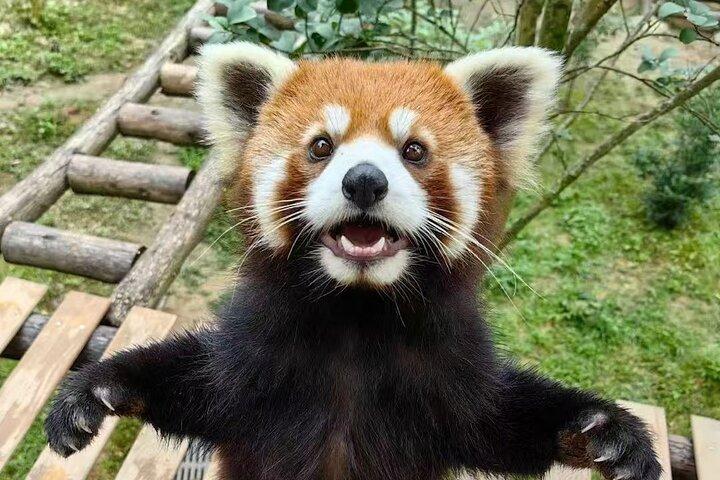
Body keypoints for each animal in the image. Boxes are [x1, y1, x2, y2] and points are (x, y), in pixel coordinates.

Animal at [45, 42, 661, 480]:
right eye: (322, 146)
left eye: (414, 150)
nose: (365, 180)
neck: (357, 315)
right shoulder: (255, 357)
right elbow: (197, 385)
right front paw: (95, 390)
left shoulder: (450, 369)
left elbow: (500, 422)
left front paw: (602, 432)